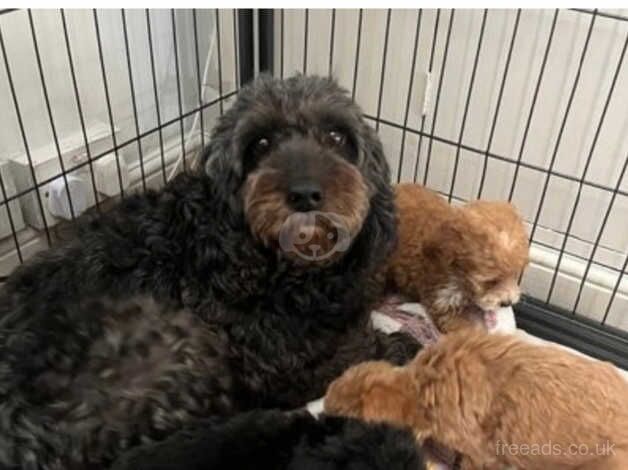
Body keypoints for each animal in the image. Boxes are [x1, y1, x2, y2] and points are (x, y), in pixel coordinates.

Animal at [2, 75, 420, 468]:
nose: (304, 193)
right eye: (261, 144)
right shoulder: (283, 364)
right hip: (181, 349)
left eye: (337, 136)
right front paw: (397, 345)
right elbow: (355, 351)